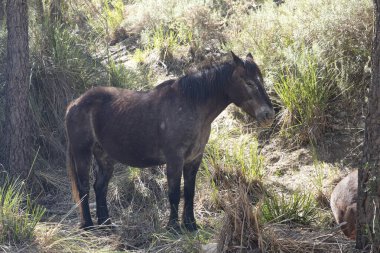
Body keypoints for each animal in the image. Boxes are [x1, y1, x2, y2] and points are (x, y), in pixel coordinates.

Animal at [64, 52, 274, 231]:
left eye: (261, 80)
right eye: (249, 82)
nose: (268, 114)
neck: (192, 105)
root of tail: (74, 104)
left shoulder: (194, 159)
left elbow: (189, 191)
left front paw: (190, 224)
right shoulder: (174, 160)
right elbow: (174, 193)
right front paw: (173, 227)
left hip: (104, 156)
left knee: (100, 187)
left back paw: (106, 224)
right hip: (82, 153)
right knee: (84, 187)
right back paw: (88, 225)